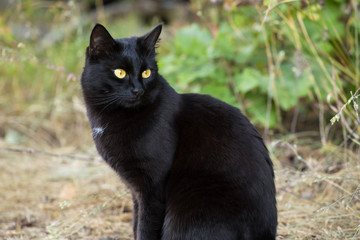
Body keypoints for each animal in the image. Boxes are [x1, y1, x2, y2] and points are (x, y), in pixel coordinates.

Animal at [81, 23, 278, 240]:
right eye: (120, 72)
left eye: (146, 73)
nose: (138, 90)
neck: (115, 117)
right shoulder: (135, 191)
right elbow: (135, 223)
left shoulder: (152, 188)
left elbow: (144, 228)